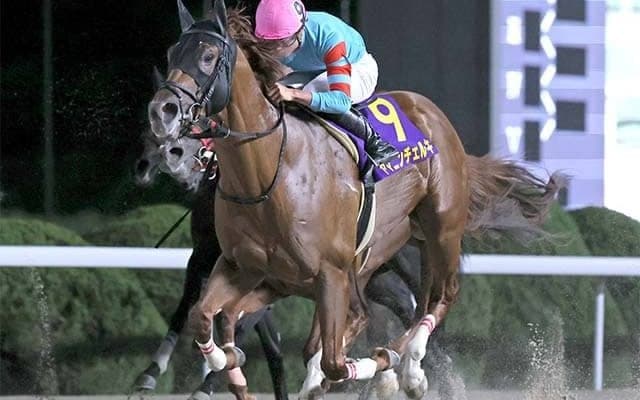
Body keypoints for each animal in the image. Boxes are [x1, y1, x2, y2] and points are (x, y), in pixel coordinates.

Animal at [147, 2, 561, 398]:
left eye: (208, 56)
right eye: (171, 53)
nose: (162, 113)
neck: (268, 176)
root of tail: (430, 111)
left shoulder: (329, 274)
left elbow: (332, 361)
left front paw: (373, 371)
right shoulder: (244, 269)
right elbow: (206, 317)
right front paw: (225, 361)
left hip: (440, 229)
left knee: (438, 299)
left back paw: (407, 368)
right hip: (384, 255)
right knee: (414, 304)